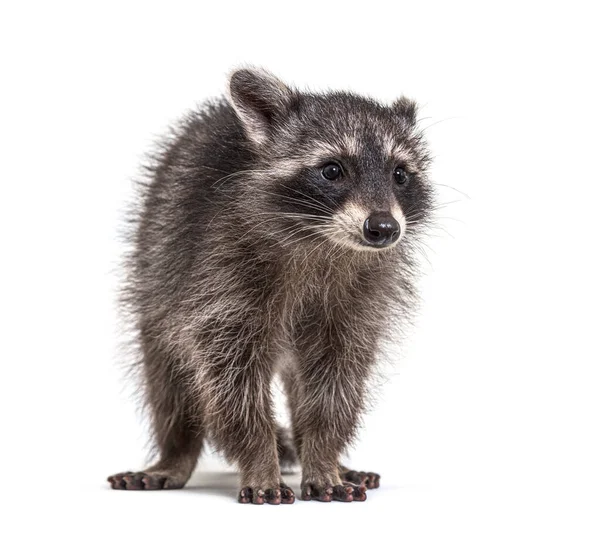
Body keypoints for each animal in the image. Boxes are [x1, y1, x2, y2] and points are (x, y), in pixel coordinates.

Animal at [108, 68, 434, 506]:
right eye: (333, 170)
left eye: (399, 174)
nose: (383, 227)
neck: (323, 240)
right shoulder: (218, 275)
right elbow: (231, 382)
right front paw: (260, 460)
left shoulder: (362, 296)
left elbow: (338, 381)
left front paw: (324, 457)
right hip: (155, 270)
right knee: (168, 375)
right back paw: (176, 454)